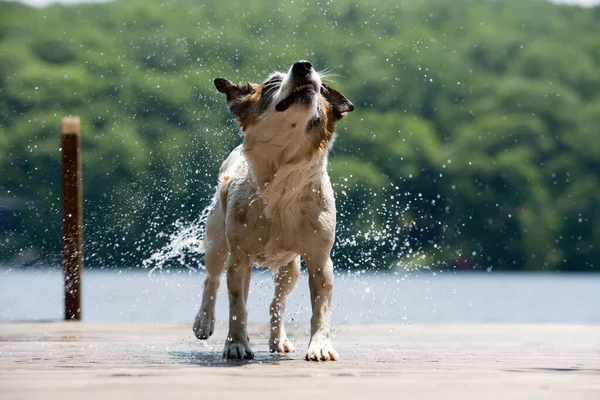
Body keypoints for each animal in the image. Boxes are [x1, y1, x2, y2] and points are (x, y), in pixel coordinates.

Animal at [192, 61, 354, 360]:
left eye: (322, 90)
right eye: (270, 85)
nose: (303, 66)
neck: (282, 184)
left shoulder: (319, 260)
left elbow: (321, 309)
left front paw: (320, 346)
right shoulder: (239, 257)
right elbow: (237, 308)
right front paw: (235, 344)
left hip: (290, 269)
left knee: (276, 303)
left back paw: (278, 340)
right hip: (218, 243)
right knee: (213, 280)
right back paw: (204, 322)